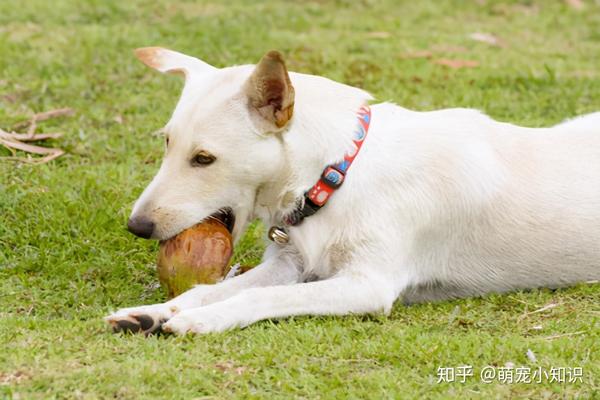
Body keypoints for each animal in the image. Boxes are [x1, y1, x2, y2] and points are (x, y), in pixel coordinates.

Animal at [105, 47, 596, 334]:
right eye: (167, 143)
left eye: (204, 159)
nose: (136, 226)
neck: (335, 176)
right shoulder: (289, 264)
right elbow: (210, 288)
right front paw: (156, 312)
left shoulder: (366, 284)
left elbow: (258, 296)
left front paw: (203, 319)